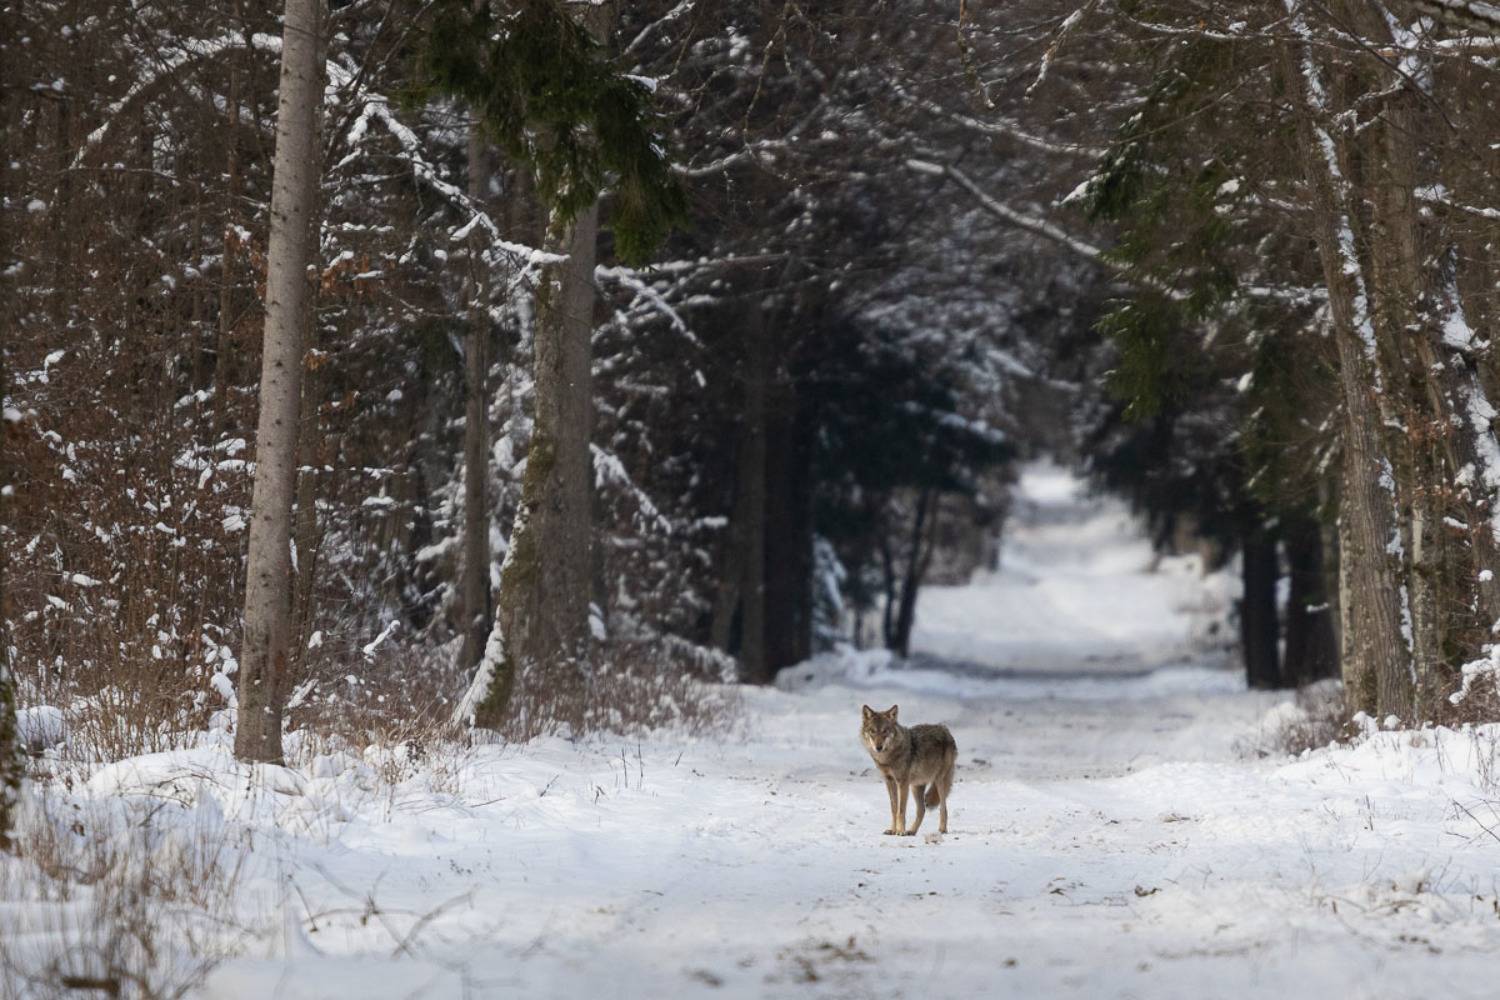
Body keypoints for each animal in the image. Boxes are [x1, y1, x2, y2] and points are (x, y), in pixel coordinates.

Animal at [859, 704, 956, 836]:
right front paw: (893, 830)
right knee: (922, 810)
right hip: (916, 787)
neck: (888, 757)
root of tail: (946, 730)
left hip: (939, 781)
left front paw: (900, 831)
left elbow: (901, 810)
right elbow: (894, 808)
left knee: (943, 808)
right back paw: (912, 831)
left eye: (885, 731)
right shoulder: (889, 781)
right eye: (872, 731)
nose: (878, 747)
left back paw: (942, 829)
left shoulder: (902, 782)